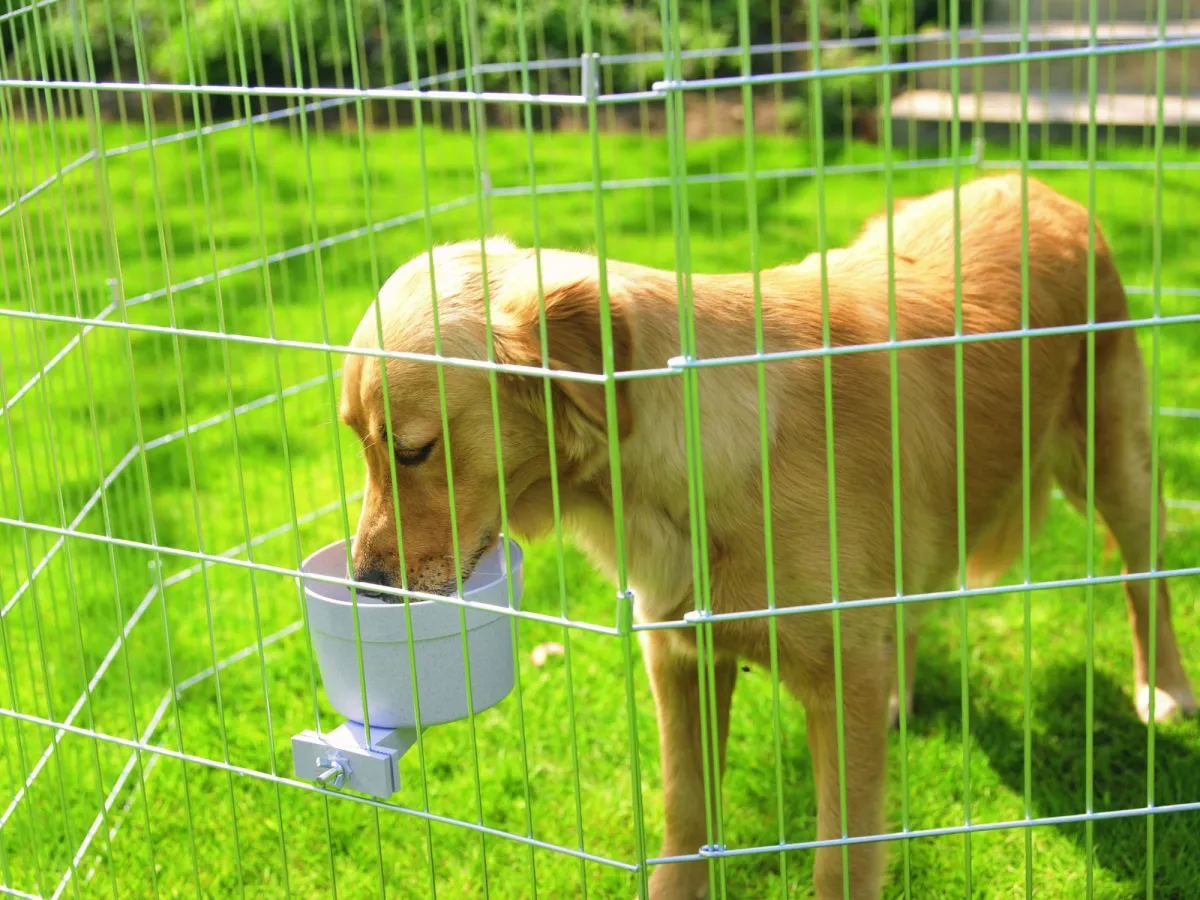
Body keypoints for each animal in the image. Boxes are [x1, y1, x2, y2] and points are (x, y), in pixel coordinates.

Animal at [340, 172, 1200, 897]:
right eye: (357, 439)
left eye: (411, 449)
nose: (364, 587)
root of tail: (1032, 184)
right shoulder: (682, 656)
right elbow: (686, 820)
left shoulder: (839, 682)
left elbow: (838, 858)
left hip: (1112, 458)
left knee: (1144, 575)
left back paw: (1163, 688)